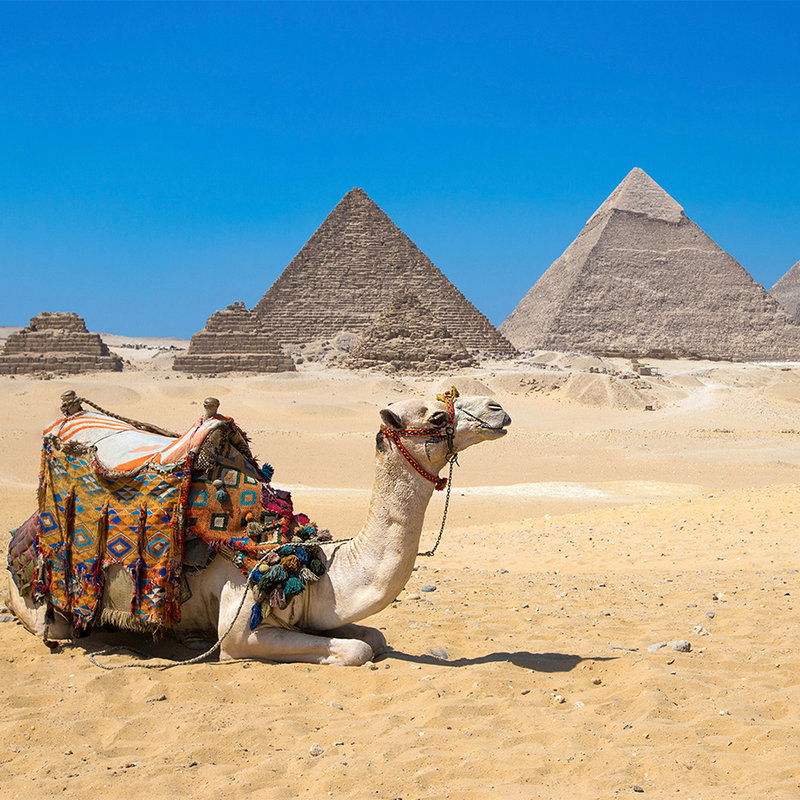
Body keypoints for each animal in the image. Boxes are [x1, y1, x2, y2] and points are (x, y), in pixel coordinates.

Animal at [3, 393, 511, 665]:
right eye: (437, 416)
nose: (498, 409)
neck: (311, 567)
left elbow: (374, 638)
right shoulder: (241, 629)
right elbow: (355, 651)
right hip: (43, 606)